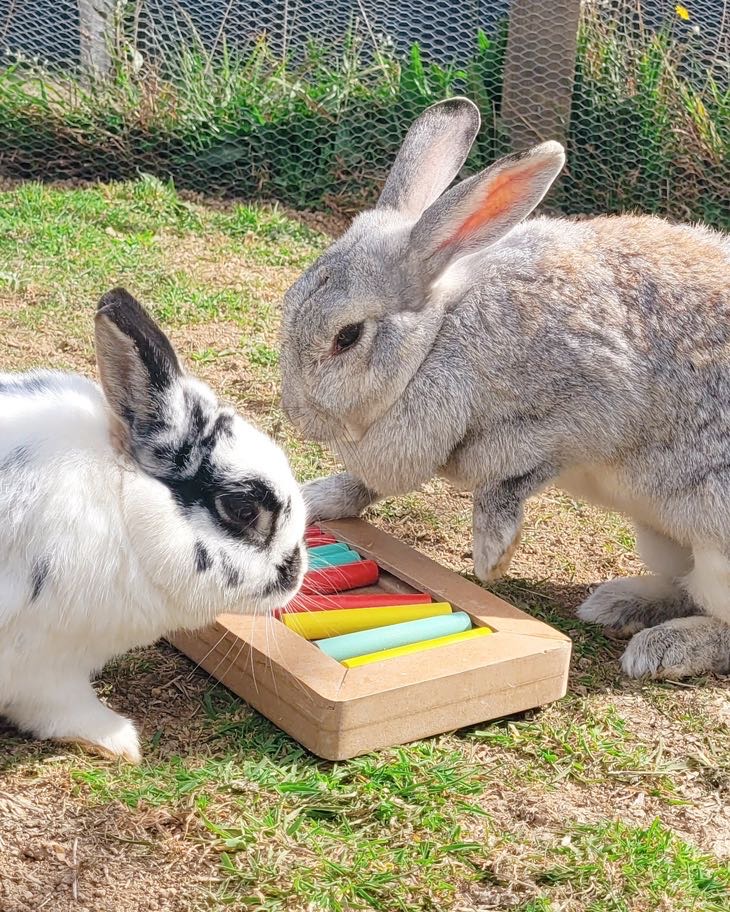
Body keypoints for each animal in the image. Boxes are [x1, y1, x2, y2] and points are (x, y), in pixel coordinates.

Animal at [0, 288, 306, 762]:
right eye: (241, 509)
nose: (296, 571)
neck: (122, 503)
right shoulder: (44, 664)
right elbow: (61, 708)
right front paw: (118, 741)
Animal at [280, 96, 730, 681]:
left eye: (347, 337)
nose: (294, 412)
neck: (439, 334)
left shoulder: (581, 415)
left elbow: (511, 483)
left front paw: (491, 557)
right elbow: (367, 483)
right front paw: (316, 498)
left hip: (717, 551)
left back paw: (661, 648)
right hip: (663, 539)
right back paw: (617, 604)